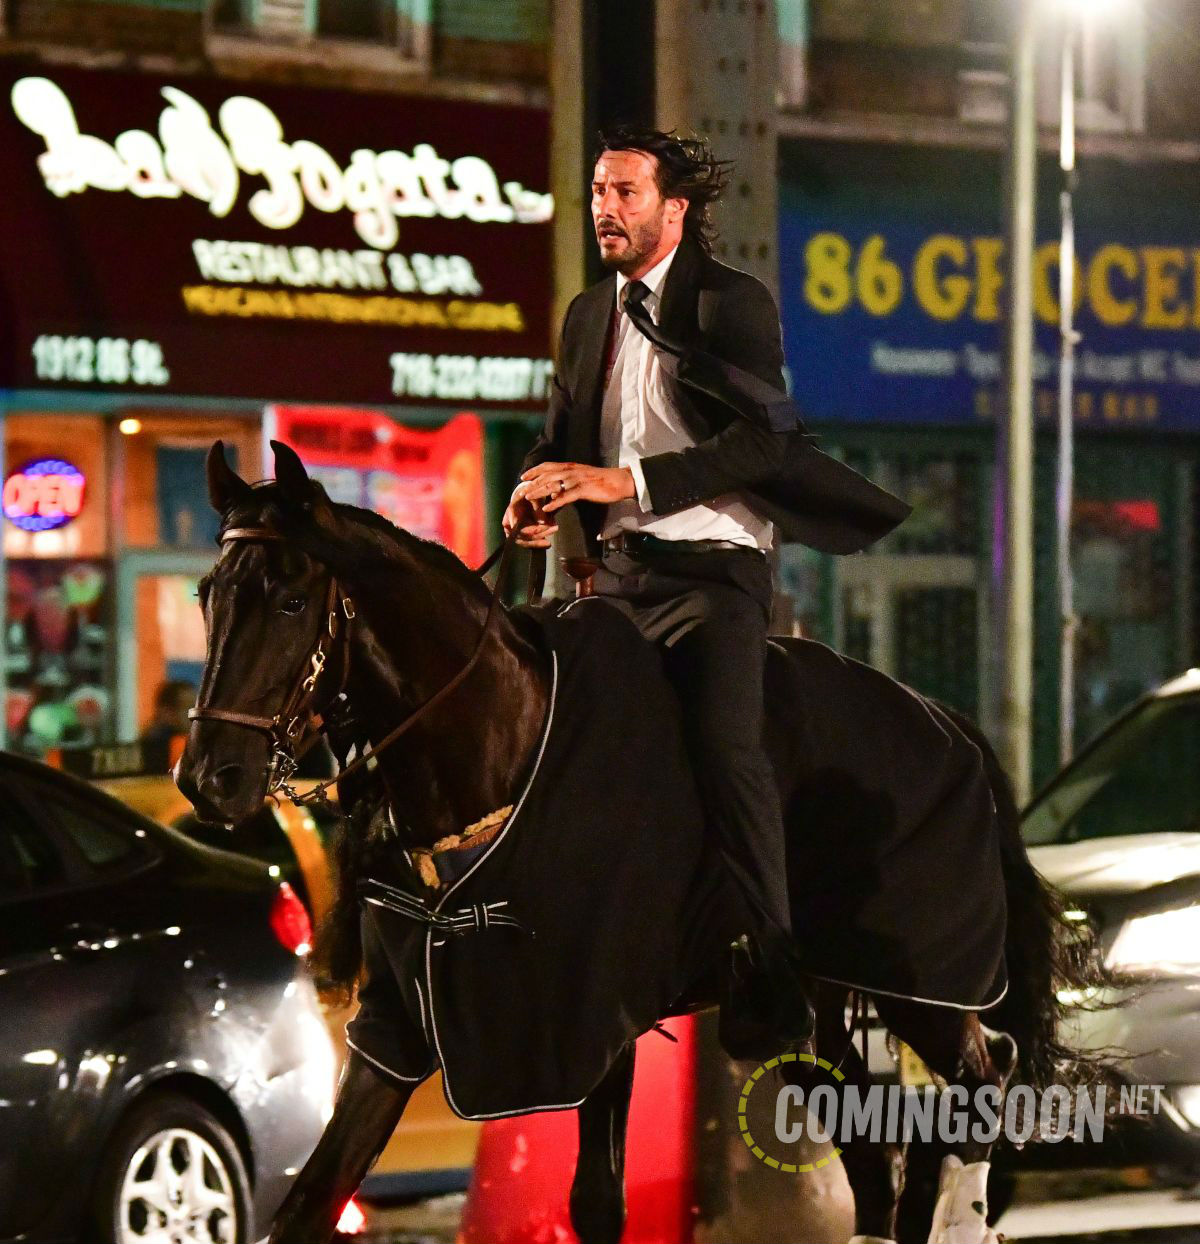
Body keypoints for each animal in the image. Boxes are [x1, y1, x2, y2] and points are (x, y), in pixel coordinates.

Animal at [175, 445, 1104, 1244]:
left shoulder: (597, 1022)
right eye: (206, 595)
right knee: (880, 1150)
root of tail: (953, 723)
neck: (497, 745)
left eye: (291, 600)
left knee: (978, 1088)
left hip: (925, 988)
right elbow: (309, 1201)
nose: (209, 778)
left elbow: (596, 1204)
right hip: (813, 1009)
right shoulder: (398, 1029)